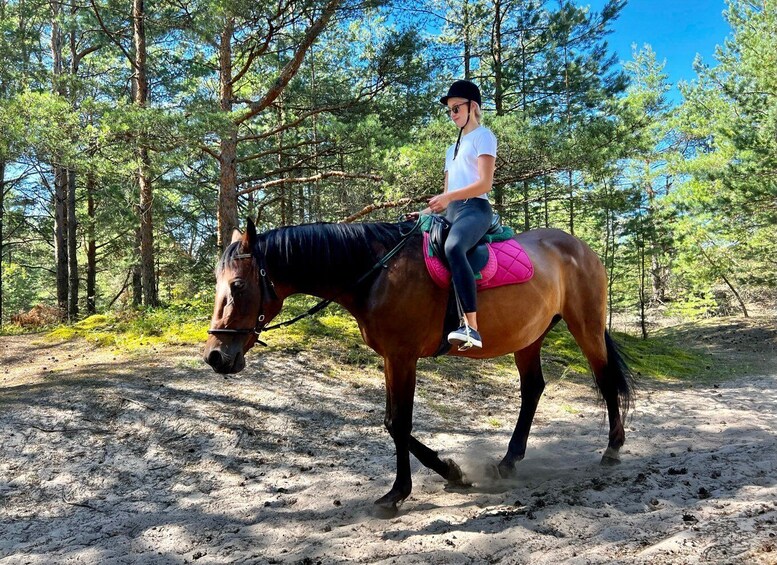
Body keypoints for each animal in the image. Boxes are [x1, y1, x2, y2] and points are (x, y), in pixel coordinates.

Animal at [203, 218, 632, 508]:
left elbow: (398, 423)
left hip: (585, 325)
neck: (376, 273)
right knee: (533, 390)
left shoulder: (403, 356)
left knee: (604, 378)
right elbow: (392, 423)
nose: (215, 356)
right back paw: (510, 460)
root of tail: (579, 247)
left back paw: (612, 449)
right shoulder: (392, 359)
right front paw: (451, 472)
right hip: (529, 337)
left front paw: (399, 492)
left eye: (238, 286)